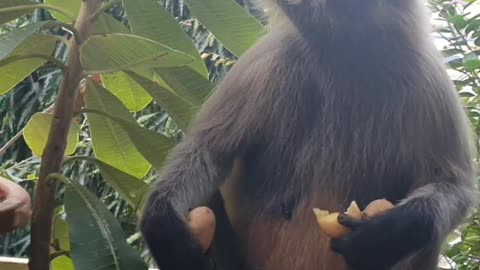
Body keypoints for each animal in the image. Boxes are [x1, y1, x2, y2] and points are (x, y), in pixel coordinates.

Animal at [139, 0, 476, 270]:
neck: (345, 54)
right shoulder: (271, 58)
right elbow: (208, 151)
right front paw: (161, 224)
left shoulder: (426, 78)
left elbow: (455, 187)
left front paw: (389, 234)